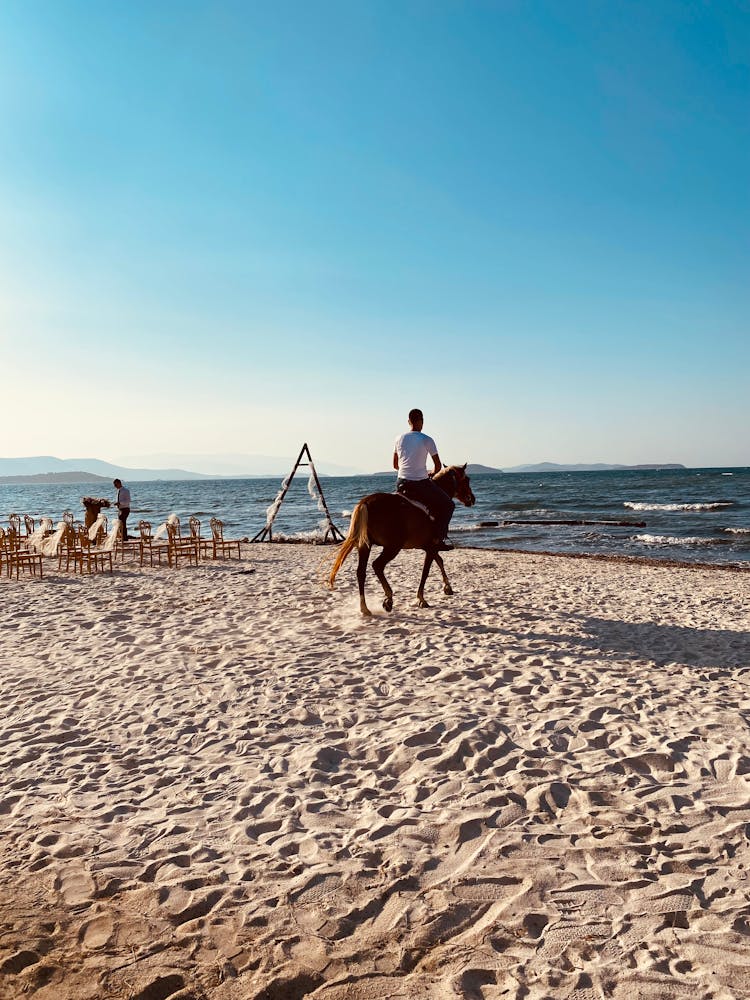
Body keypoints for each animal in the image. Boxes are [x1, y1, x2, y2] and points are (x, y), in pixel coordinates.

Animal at [328, 466, 476, 616]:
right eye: (467, 479)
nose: (472, 498)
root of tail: (365, 503)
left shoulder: (427, 546)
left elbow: (439, 561)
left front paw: (447, 587)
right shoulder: (431, 547)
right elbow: (426, 571)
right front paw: (421, 599)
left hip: (365, 545)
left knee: (361, 572)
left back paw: (364, 607)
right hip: (393, 547)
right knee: (377, 565)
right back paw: (388, 598)